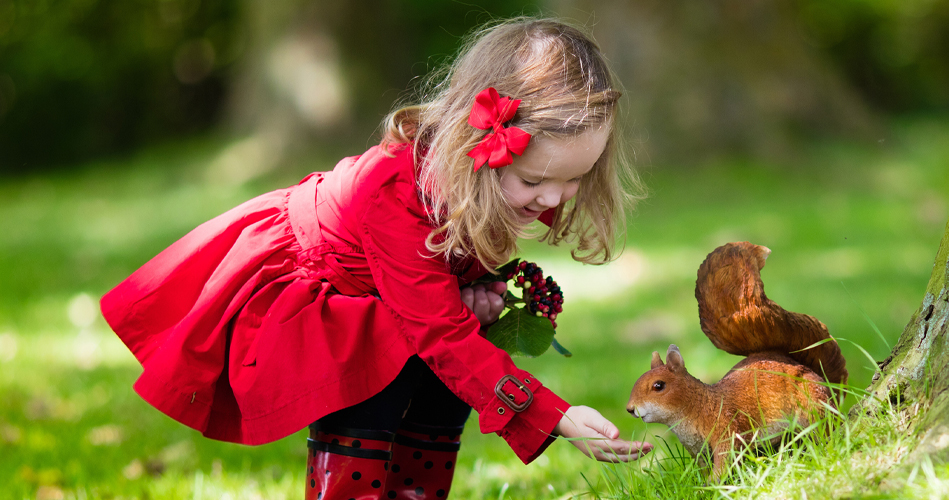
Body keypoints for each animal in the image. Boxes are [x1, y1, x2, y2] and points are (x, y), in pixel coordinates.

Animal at [626, 242, 848, 480]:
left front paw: (713, 483)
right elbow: (702, 466)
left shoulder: (727, 429)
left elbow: (726, 459)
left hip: (813, 405)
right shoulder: (697, 449)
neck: (698, 406)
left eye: (659, 386)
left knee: (826, 429)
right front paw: (700, 481)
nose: (630, 409)